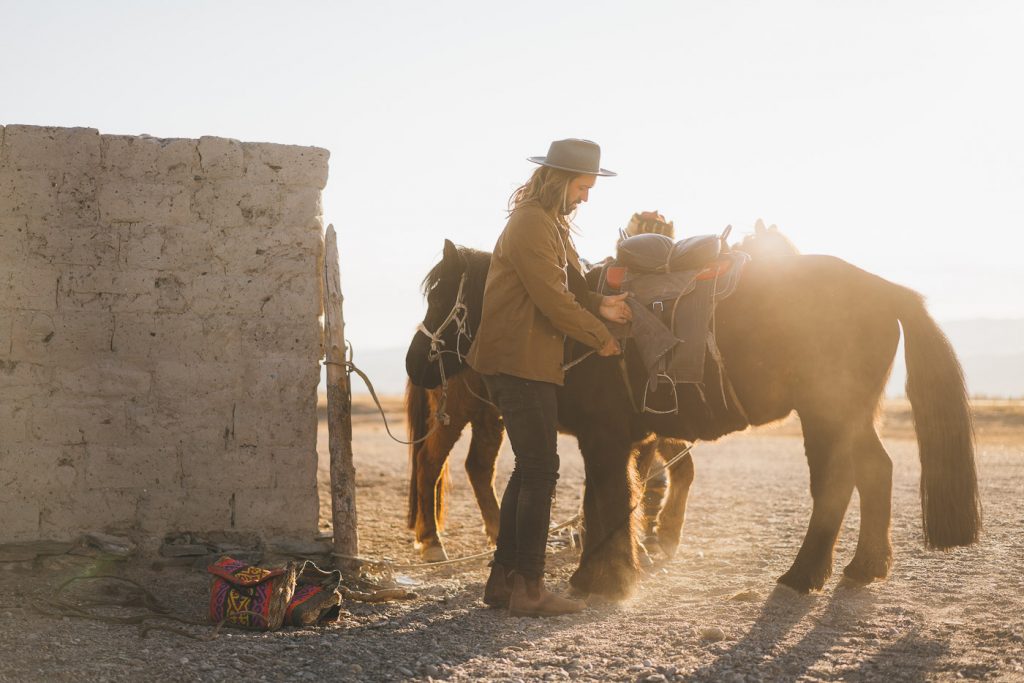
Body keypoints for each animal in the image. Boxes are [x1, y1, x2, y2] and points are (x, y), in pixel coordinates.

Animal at [403, 223, 978, 598]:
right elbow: (614, 500)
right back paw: (864, 567)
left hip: (827, 413)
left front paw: (604, 578)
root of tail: (885, 289)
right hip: (850, 414)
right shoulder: (622, 440)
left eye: (440, 293)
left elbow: (608, 499)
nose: (413, 362)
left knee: (838, 484)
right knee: (875, 471)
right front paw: (616, 569)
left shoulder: (605, 438)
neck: (575, 322)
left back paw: (803, 575)